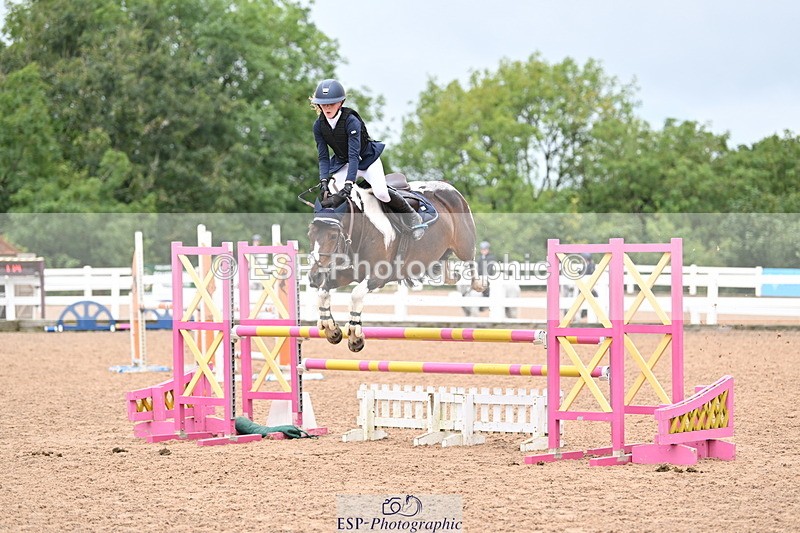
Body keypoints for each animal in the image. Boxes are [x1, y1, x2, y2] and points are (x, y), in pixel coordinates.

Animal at [307, 174, 484, 352]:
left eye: (333, 236)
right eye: (310, 234)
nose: (314, 277)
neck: (362, 231)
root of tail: (447, 186)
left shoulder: (378, 276)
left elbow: (356, 294)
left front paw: (355, 337)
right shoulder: (343, 275)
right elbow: (323, 293)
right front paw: (331, 330)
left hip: (464, 245)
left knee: (471, 259)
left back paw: (479, 285)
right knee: (446, 262)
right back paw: (451, 276)